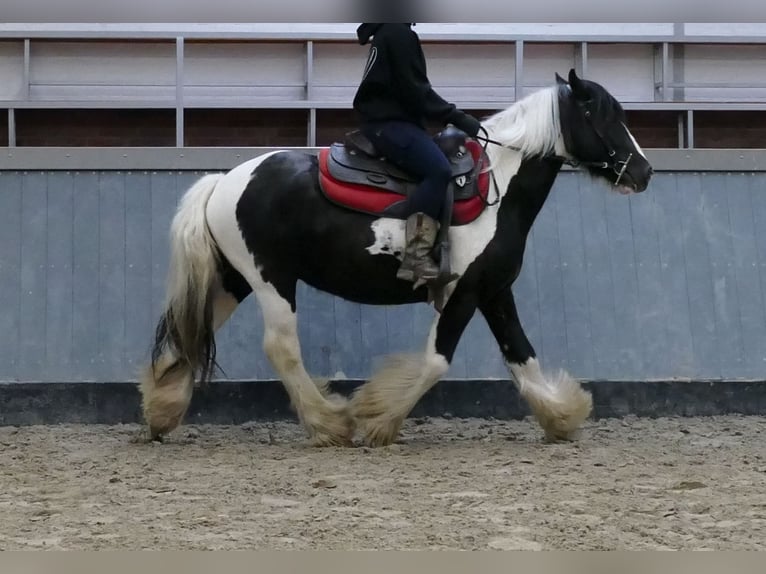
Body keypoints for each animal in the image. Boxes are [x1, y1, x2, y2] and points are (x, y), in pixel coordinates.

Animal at [139, 68, 653, 447]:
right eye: (603, 116)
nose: (644, 172)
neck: (499, 189)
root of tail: (223, 181)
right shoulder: (462, 293)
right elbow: (437, 361)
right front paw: (377, 418)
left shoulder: (494, 291)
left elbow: (521, 354)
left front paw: (561, 416)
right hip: (271, 281)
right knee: (280, 347)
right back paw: (329, 423)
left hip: (234, 280)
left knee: (189, 333)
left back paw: (162, 412)